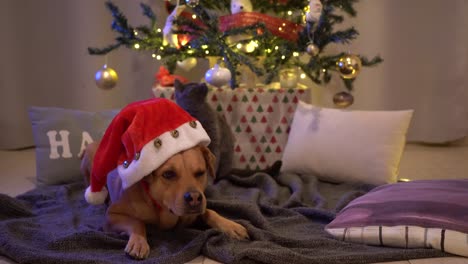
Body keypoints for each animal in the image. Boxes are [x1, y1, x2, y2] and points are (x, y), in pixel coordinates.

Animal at [80, 142, 249, 260]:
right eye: (168, 174)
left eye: (200, 173)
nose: (195, 198)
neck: (162, 207)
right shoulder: (112, 215)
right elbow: (136, 222)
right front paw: (139, 241)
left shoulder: (196, 212)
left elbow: (210, 212)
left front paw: (231, 226)